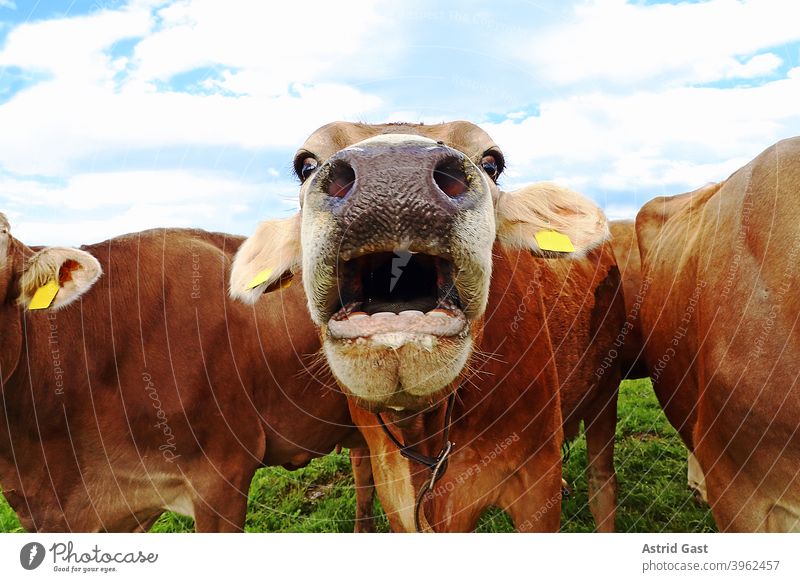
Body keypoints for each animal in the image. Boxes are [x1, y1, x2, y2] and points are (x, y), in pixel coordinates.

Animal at [228, 123, 620, 532]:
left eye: (492, 163)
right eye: (305, 165)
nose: (392, 173)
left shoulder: (538, 479)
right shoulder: (394, 489)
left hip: (606, 387)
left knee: (602, 482)